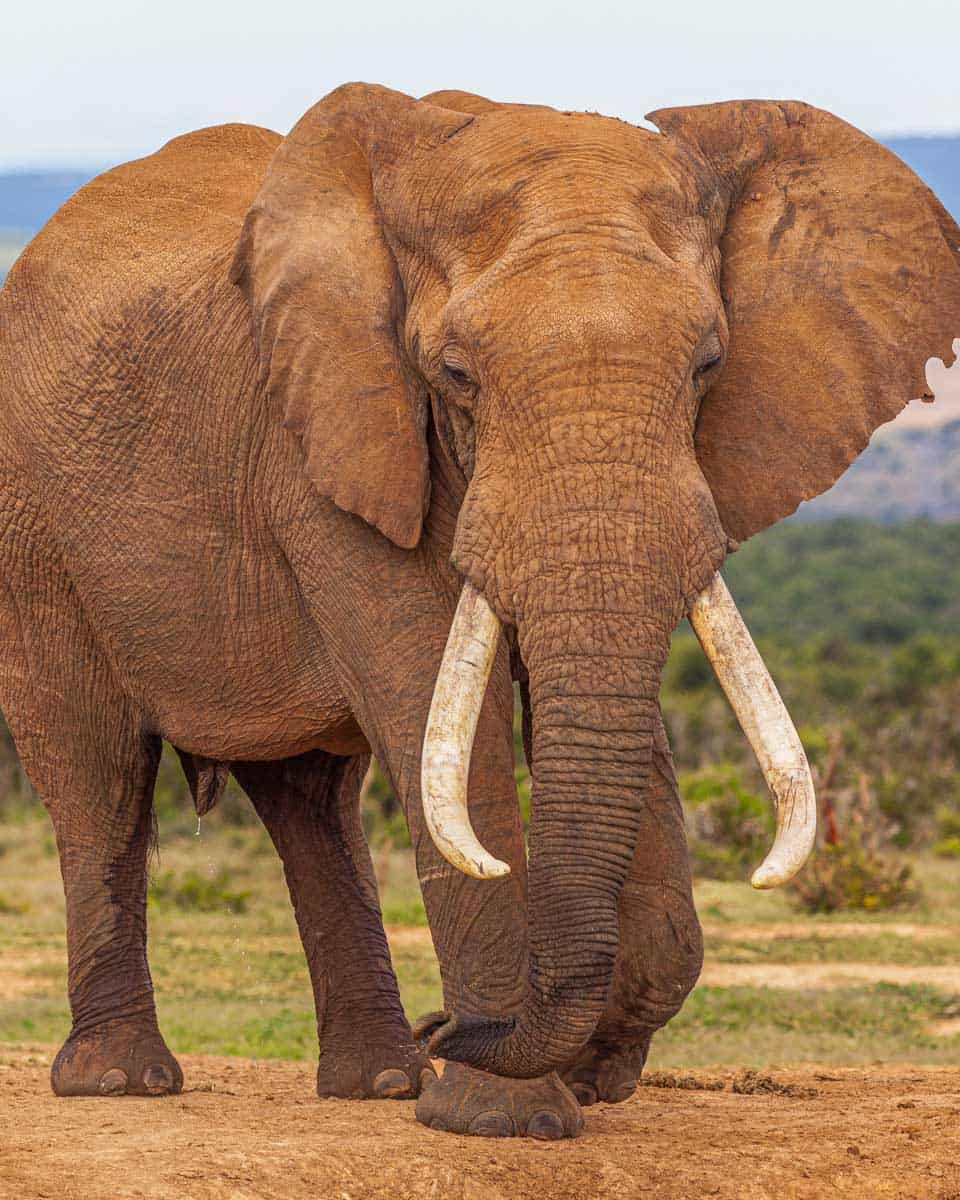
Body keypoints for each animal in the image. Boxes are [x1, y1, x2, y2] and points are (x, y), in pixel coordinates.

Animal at [0, 82, 957, 1141]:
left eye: (708, 365)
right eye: (457, 373)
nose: (445, 1025)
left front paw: (585, 1074)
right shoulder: (329, 440)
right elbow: (439, 704)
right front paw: (507, 1120)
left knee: (311, 798)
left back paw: (382, 1081)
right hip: (36, 533)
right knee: (97, 775)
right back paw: (122, 1081)